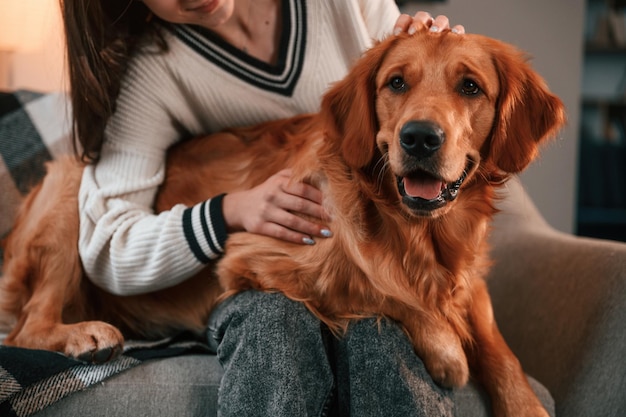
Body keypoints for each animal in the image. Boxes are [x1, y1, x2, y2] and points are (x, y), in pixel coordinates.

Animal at [0, 30, 564, 416]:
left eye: (470, 87)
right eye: (396, 82)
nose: (420, 137)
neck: (415, 231)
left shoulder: (467, 278)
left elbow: (496, 344)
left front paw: (524, 403)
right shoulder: (259, 253)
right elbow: (384, 286)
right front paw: (447, 351)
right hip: (72, 183)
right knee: (27, 328)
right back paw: (83, 335)